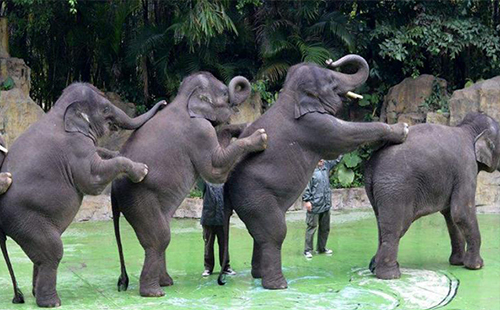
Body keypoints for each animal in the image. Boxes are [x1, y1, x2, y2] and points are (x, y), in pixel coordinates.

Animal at [0, 83, 166, 308]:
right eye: (106, 109)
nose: (164, 102)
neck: (59, 109)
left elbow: (101, 153)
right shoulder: (75, 149)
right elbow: (93, 179)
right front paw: (143, 171)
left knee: (40, 258)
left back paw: (34, 295)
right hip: (25, 219)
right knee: (52, 252)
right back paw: (52, 303)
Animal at [111, 72, 268, 298]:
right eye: (223, 93)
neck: (183, 99)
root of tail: (112, 190)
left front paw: (244, 128)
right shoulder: (199, 132)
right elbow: (215, 169)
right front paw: (260, 136)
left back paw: (166, 283)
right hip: (138, 198)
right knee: (159, 238)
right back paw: (155, 293)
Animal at [219, 54, 410, 290]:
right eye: (331, 81)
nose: (331, 60)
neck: (290, 94)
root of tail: (226, 186)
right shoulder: (313, 126)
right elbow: (344, 136)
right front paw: (403, 129)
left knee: (259, 235)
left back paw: (258, 276)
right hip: (254, 195)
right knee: (275, 232)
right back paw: (279, 285)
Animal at [364, 112, 500, 280]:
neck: (469, 129)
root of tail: (372, 165)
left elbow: (450, 215)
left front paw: (458, 262)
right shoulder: (466, 169)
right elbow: (461, 212)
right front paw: (476, 266)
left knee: (381, 226)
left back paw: (374, 267)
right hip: (395, 188)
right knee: (396, 227)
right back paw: (390, 275)